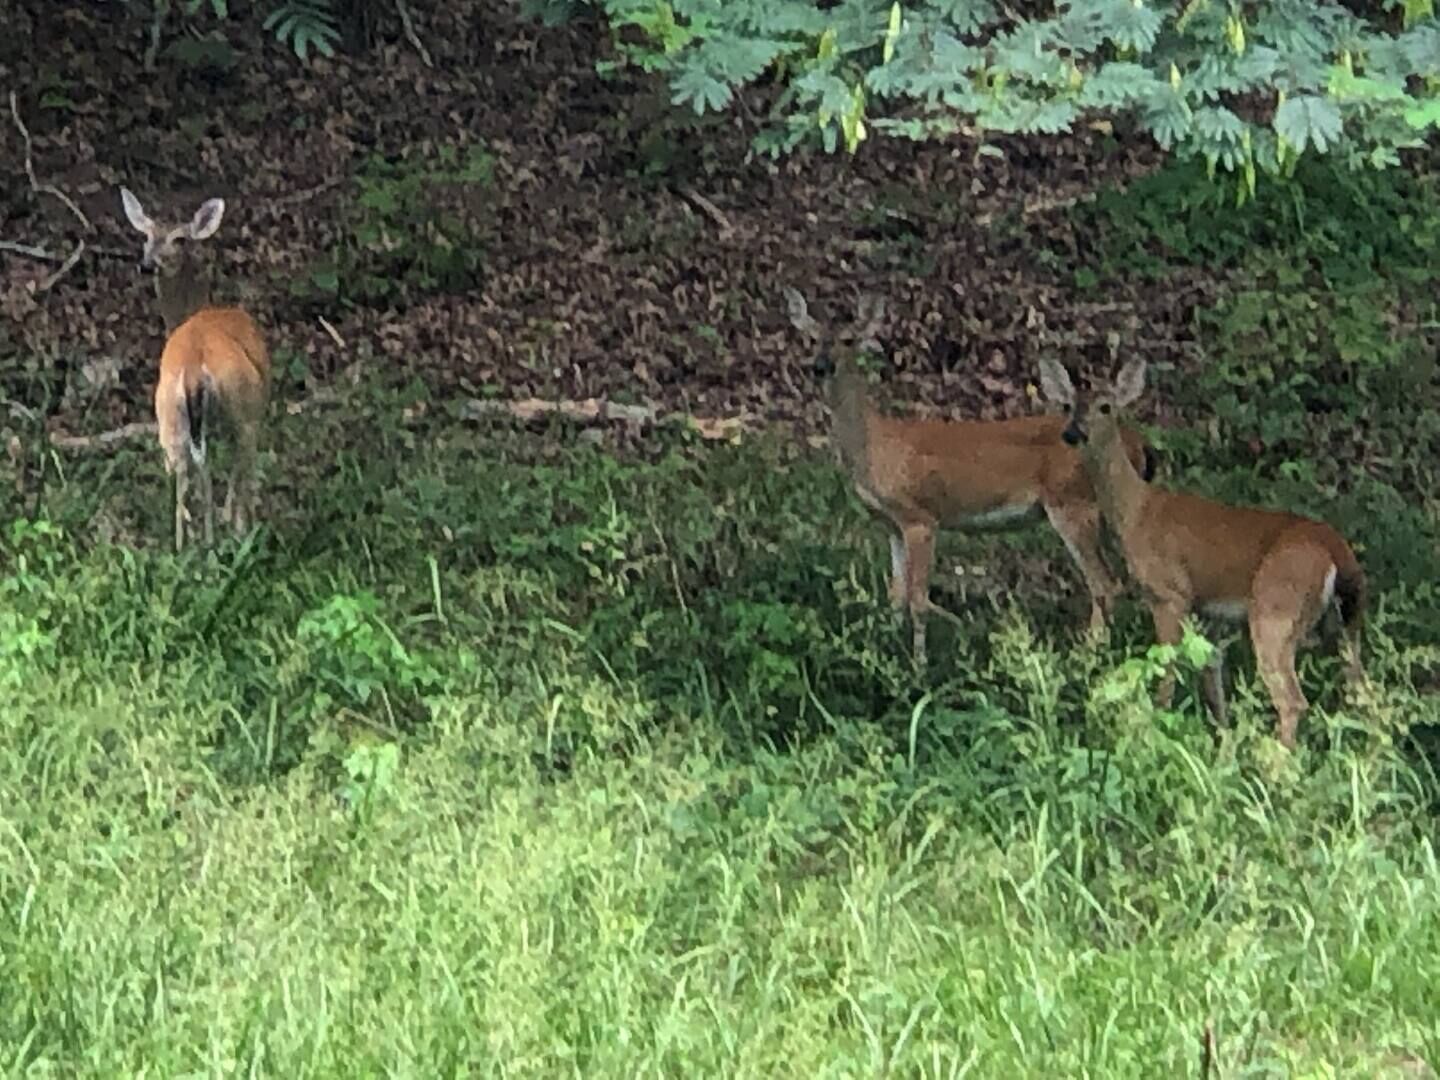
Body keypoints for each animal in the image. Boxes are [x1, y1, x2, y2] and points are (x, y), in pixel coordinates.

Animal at [120, 187, 271, 551]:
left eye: (179, 239)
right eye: (146, 235)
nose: (147, 264)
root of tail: (193, 370)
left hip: (168, 416)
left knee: (182, 475)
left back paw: (185, 546)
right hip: (244, 405)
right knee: (238, 469)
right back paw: (233, 534)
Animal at [785, 286, 1157, 667]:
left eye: (848, 339)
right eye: (811, 337)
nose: (820, 367)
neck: (875, 445)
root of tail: (1137, 442)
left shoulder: (920, 516)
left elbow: (918, 599)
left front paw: (918, 667)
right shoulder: (890, 524)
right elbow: (896, 594)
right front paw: (886, 651)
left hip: (1073, 503)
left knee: (1105, 584)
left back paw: (1089, 657)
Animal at [1038, 355, 1366, 749]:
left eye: (1105, 406)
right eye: (1069, 406)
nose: (1073, 433)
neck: (1137, 511)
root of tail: (1337, 551)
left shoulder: (1170, 593)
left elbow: (1167, 666)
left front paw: (1156, 729)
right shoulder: (1205, 607)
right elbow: (1211, 668)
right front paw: (1221, 741)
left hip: (1276, 609)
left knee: (1292, 699)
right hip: (1345, 620)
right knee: (1359, 687)